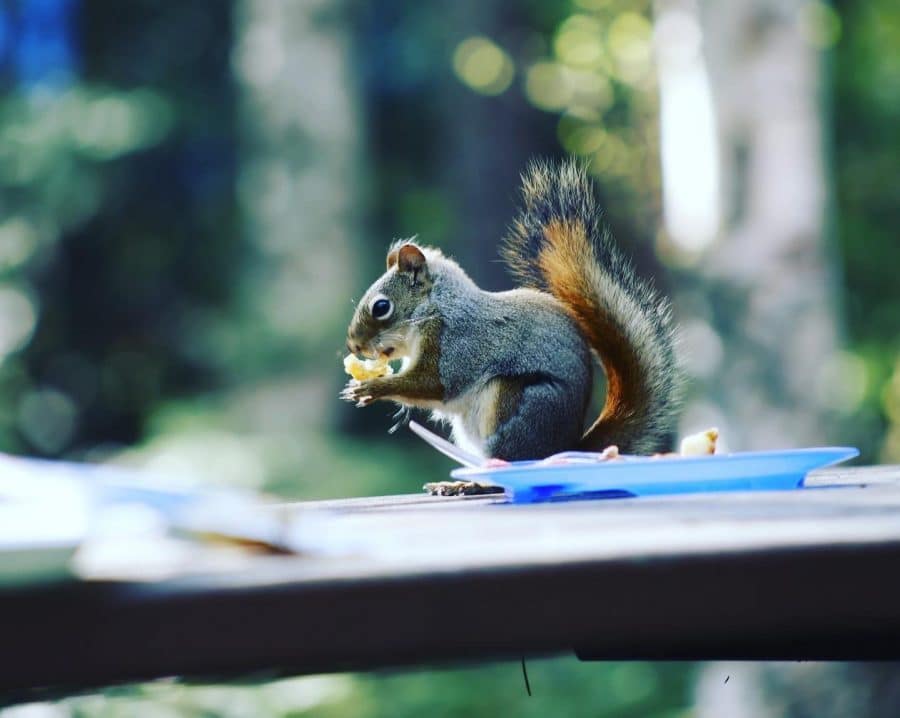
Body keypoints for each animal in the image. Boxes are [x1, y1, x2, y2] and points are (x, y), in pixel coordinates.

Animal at [342, 159, 680, 462]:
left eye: (381, 307)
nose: (353, 345)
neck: (436, 307)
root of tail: (562, 448)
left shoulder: (457, 343)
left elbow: (434, 383)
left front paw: (372, 387)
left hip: (515, 402)